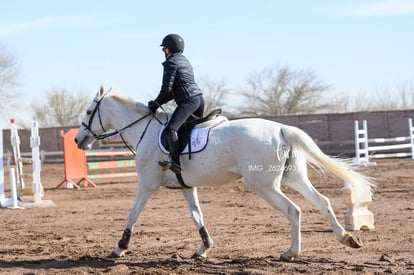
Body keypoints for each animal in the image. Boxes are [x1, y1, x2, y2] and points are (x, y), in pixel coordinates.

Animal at [74, 87, 376, 262]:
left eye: (89, 111)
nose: (78, 140)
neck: (145, 130)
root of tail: (281, 128)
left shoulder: (147, 185)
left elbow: (132, 214)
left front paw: (119, 247)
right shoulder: (186, 187)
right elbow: (197, 216)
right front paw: (204, 248)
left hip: (264, 185)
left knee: (294, 210)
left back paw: (291, 252)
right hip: (293, 177)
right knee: (322, 202)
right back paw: (347, 238)